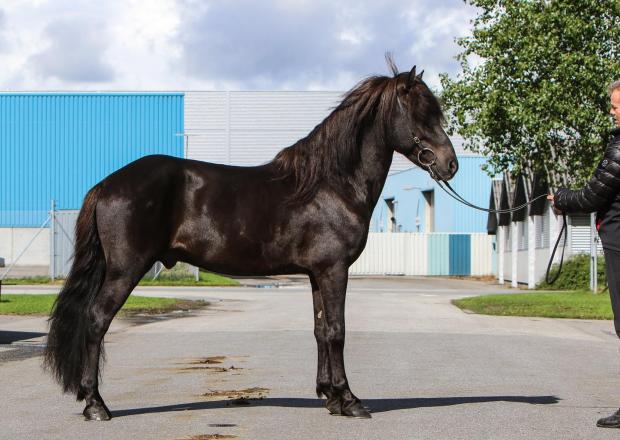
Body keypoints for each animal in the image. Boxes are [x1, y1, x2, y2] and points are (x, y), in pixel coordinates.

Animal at [44, 57, 458, 421]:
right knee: (97, 320)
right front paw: (350, 400)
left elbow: (320, 330)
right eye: (422, 113)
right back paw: (96, 405)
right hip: (124, 270)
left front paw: (330, 396)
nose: (450, 164)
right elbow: (337, 331)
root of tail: (107, 184)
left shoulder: (316, 273)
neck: (331, 184)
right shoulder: (334, 270)